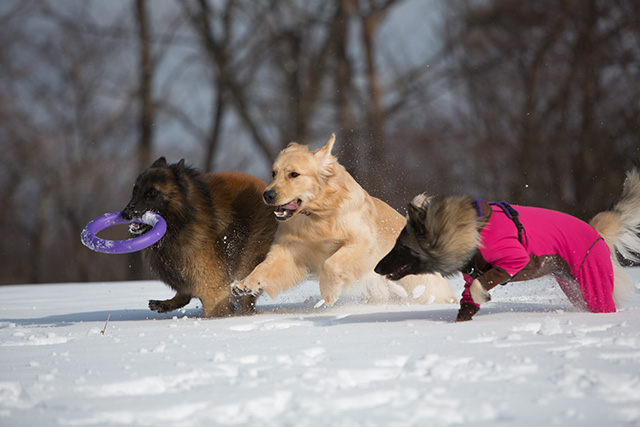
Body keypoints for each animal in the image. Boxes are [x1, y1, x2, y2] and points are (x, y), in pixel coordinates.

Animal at [122, 157, 278, 318]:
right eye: (135, 190)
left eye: (152, 193)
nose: (125, 214)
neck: (182, 221)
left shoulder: (213, 289)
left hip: (247, 260)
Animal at [376, 167, 640, 320]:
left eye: (402, 247)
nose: (377, 268)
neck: (473, 231)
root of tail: (595, 229)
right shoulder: (472, 273)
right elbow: (468, 297)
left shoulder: (514, 258)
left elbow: (480, 285)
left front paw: (484, 297)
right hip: (573, 284)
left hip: (592, 280)